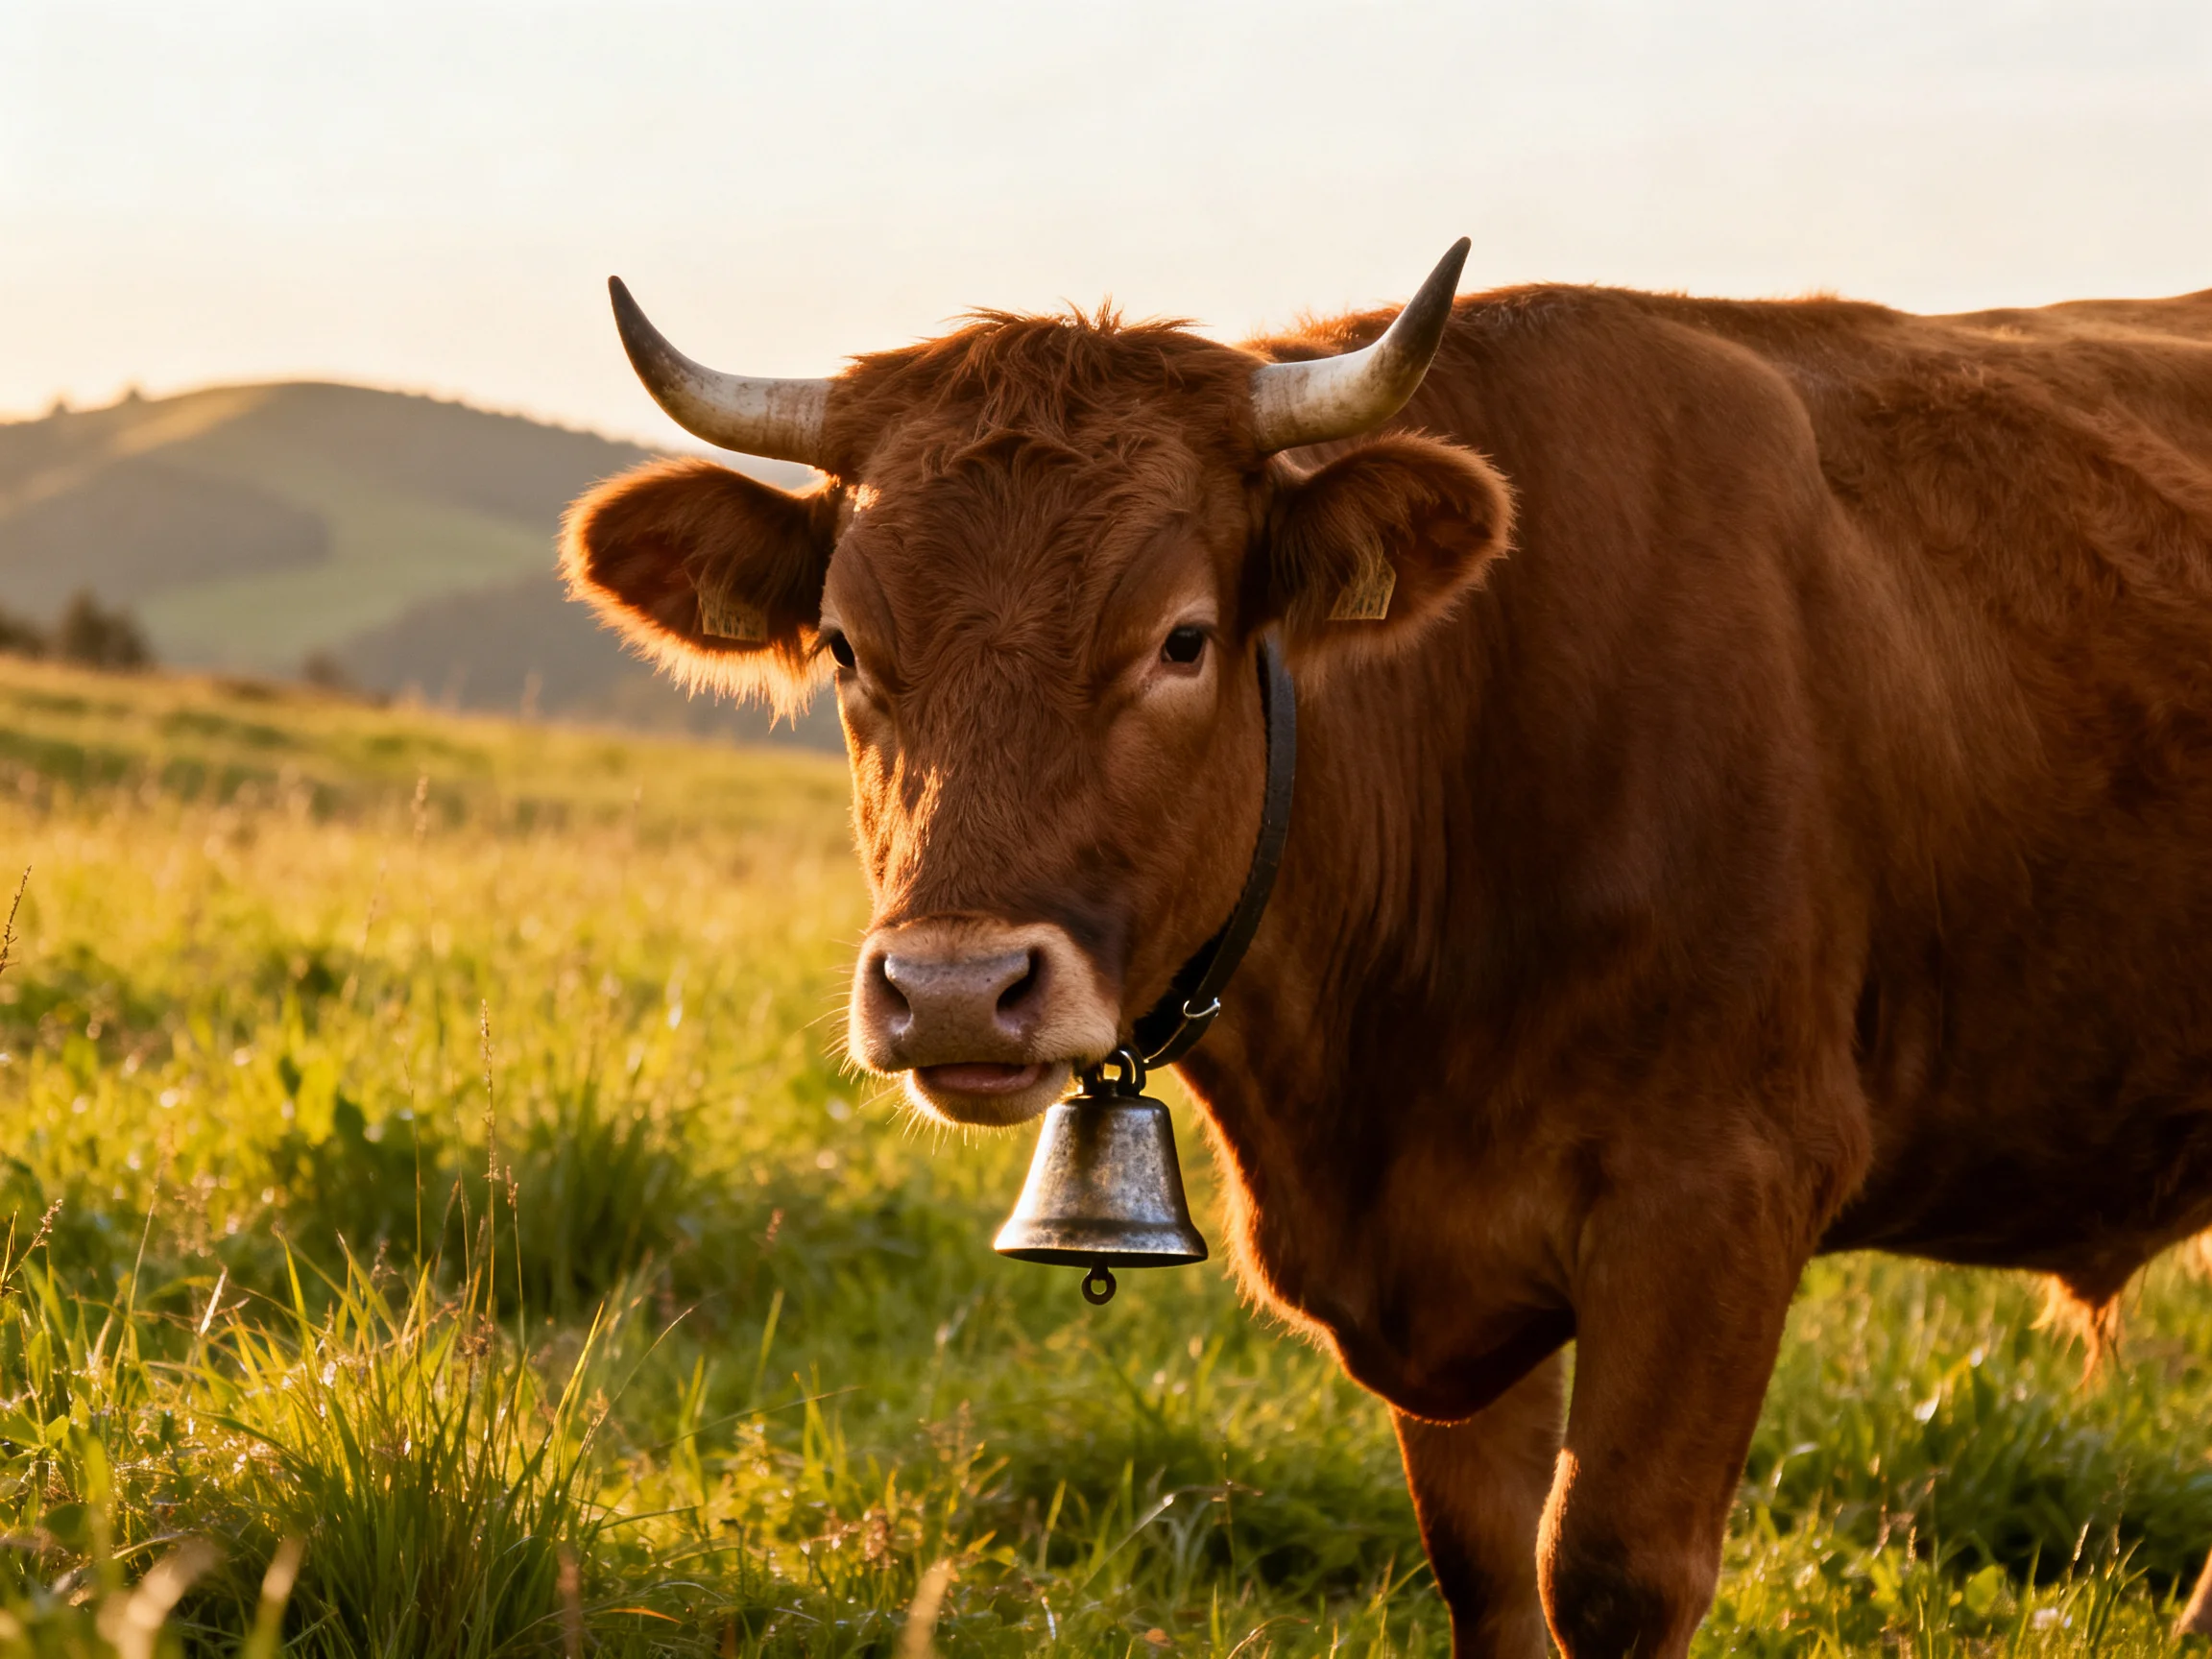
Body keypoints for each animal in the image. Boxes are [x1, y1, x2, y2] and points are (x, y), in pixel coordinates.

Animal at [559, 242, 2212, 1658]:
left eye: (1182, 638)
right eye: (846, 647)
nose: (957, 991)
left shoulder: (1723, 1192)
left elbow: (1609, 1574)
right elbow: (1488, 1575)